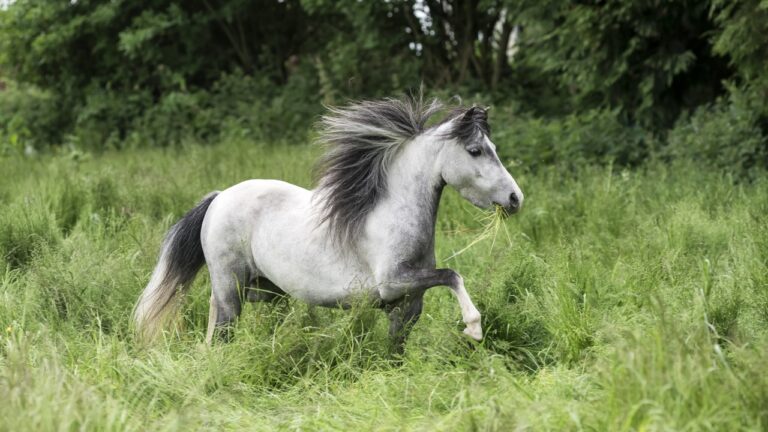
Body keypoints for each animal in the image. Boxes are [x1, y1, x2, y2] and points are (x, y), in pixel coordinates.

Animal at [133, 95, 524, 350]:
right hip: (231, 289)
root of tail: (218, 198)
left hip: (266, 293)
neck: (392, 217)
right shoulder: (394, 282)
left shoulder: (406, 306)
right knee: (223, 335)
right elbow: (453, 275)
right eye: (475, 150)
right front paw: (473, 328)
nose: (515, 199)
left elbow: (395, 351)